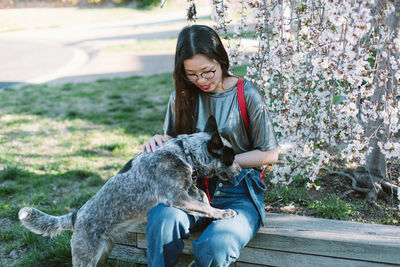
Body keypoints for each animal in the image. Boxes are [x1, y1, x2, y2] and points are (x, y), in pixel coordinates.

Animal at [18, 116, 241, 267]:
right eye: (231, 157)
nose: (241, 170)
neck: (184, 153)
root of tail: (76, 216)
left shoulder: (187, 189)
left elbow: (203, 198)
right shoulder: (176, 196)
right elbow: (205, 206)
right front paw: (223, 213)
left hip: (102, 252)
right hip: (86, 257)